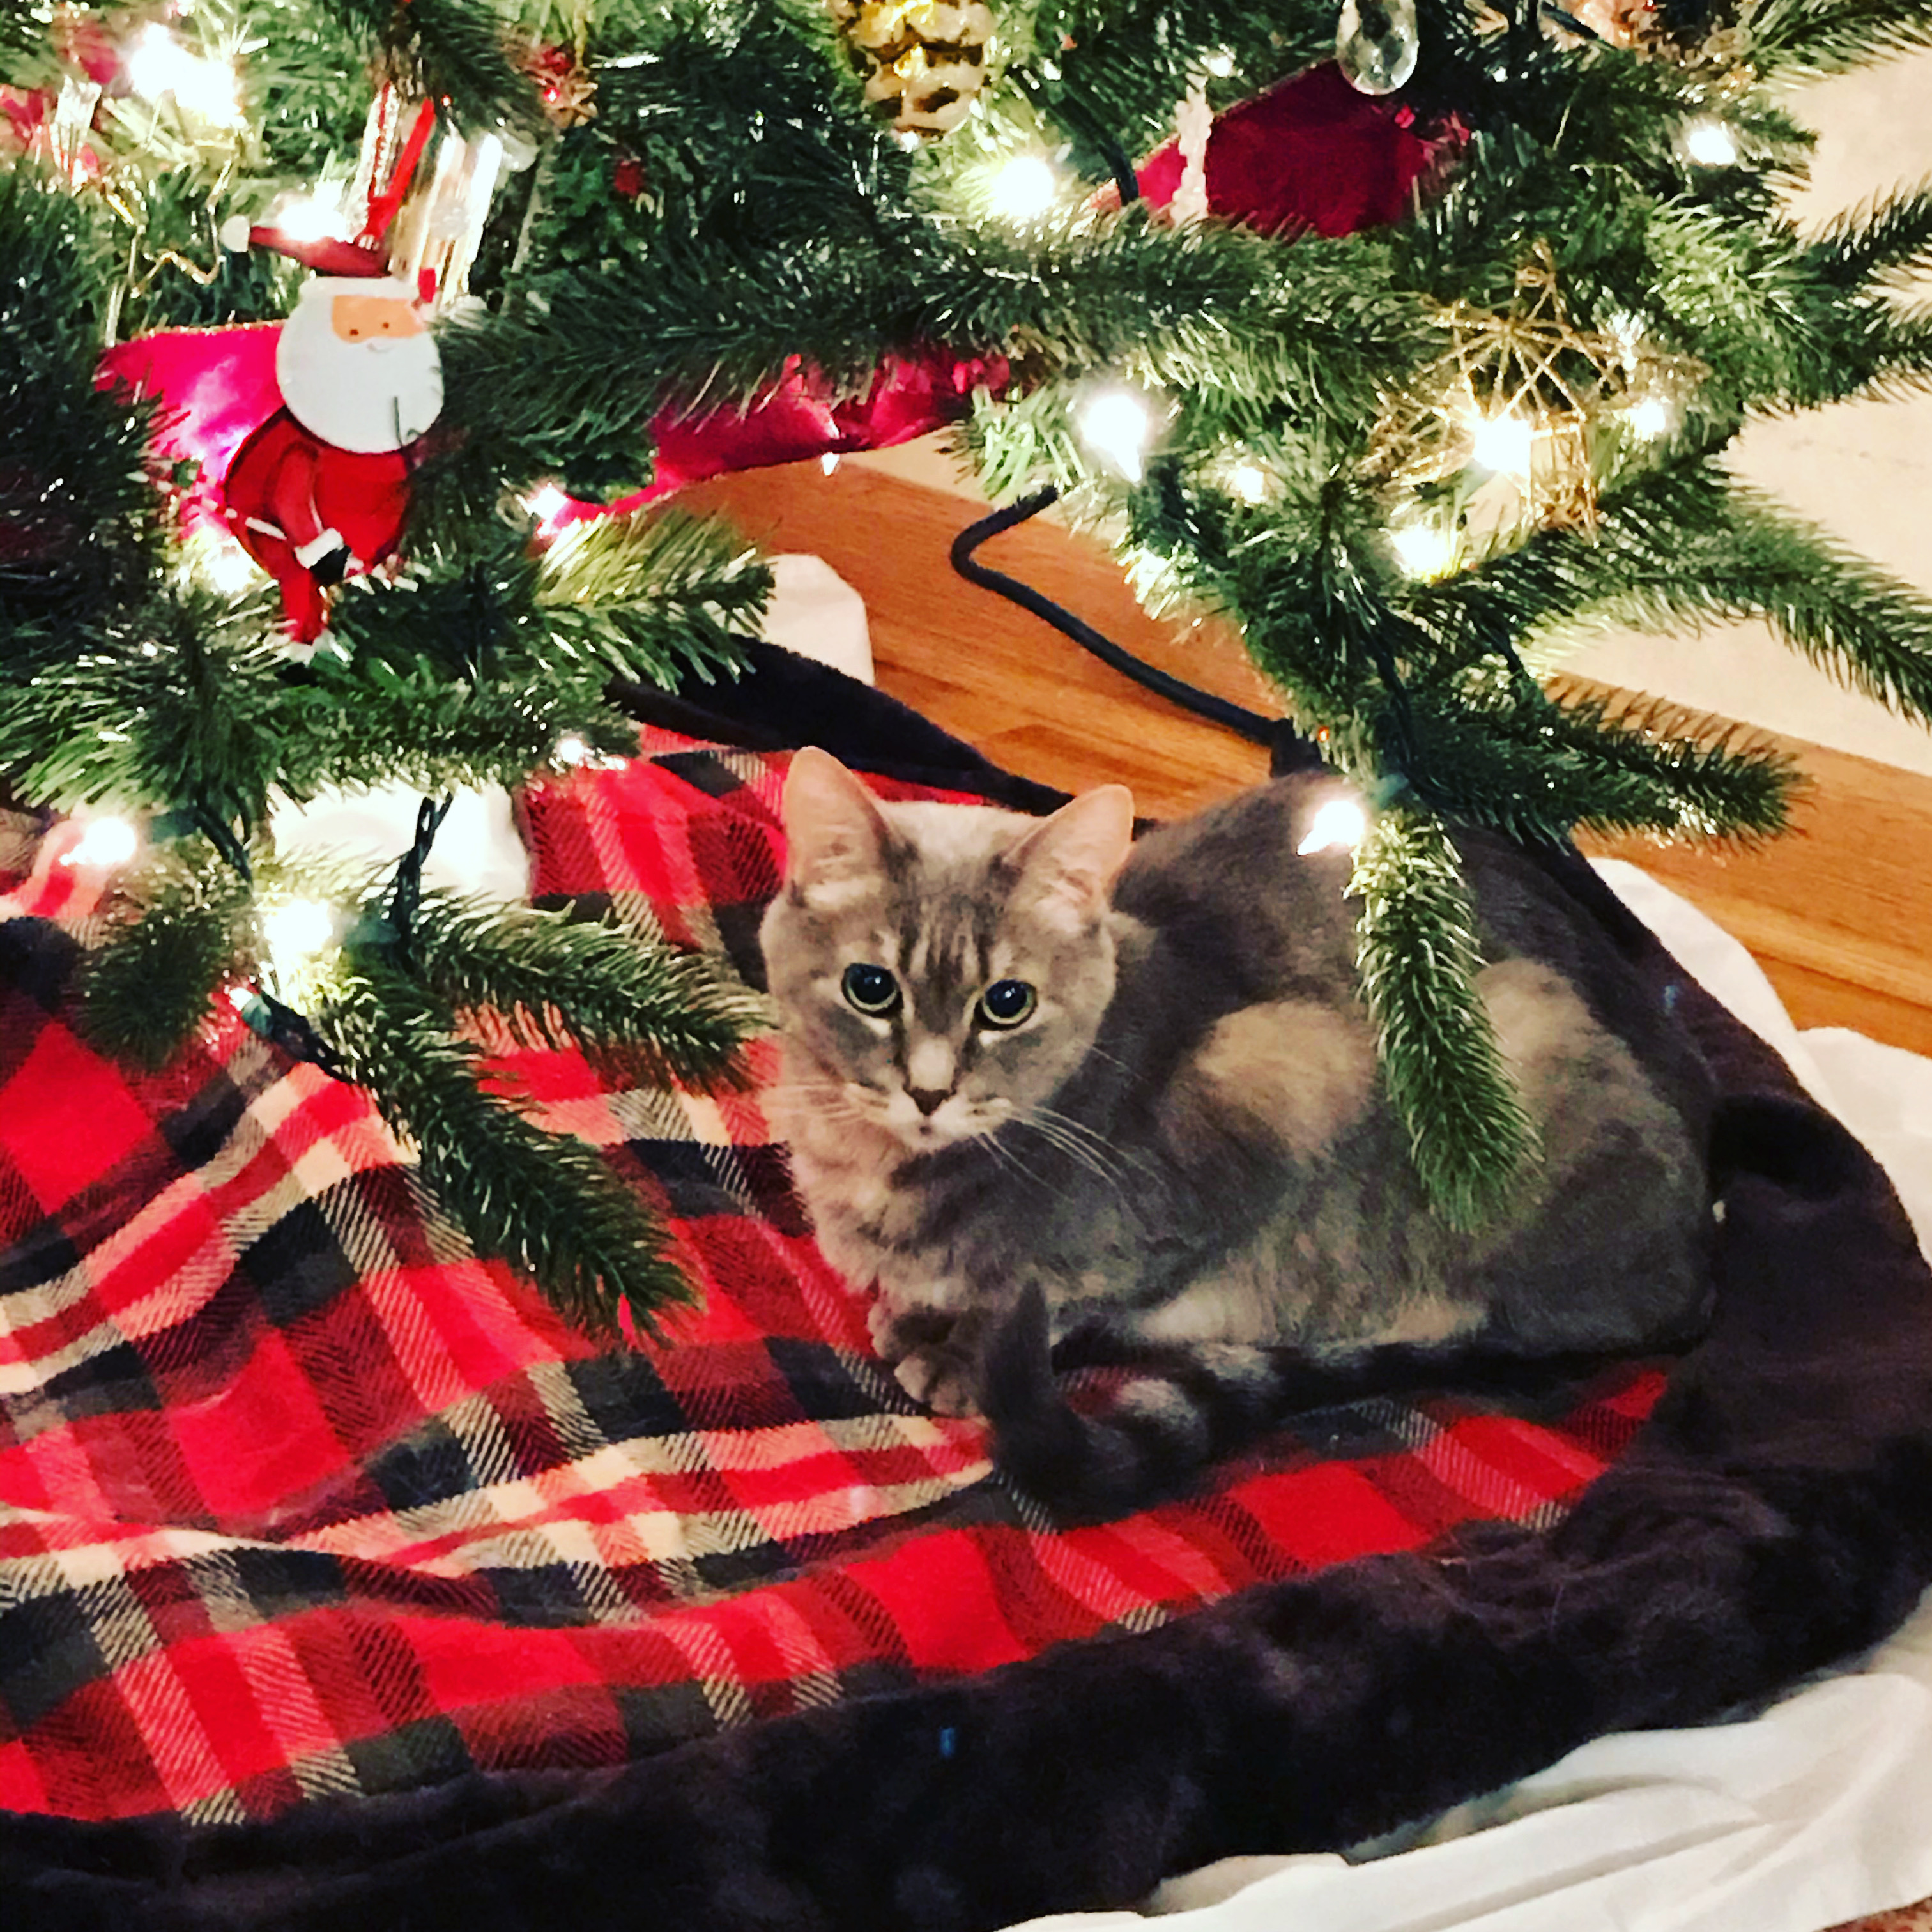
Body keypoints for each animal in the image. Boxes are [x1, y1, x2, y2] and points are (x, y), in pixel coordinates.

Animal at [761, 746, 1715, 1514]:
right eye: (871, 988)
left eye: (1007, 1003)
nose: (927, 1090)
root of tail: (1700, 1258)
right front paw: (920, 1313)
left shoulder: (1269, 1095)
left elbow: (1074, 1295)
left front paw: (961, 1350)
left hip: (1502, 1051)